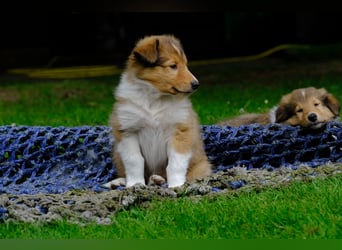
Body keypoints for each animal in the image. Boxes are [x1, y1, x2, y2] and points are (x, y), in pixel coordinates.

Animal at [103, 34, 212, 188]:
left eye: (185, 64)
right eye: (173, 66)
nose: (196, 84)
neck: (155, 98)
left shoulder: (180, 131)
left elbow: (175, 163)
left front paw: (176, 186)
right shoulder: (128, 130)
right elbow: (134, 160)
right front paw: (135, 184)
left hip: (201, 165)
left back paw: (158, 179)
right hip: (117, 154)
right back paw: (120, 182)